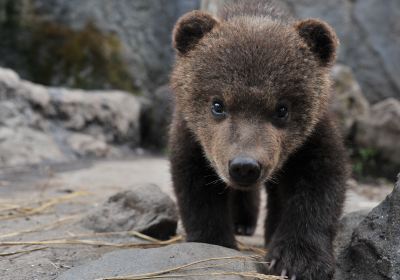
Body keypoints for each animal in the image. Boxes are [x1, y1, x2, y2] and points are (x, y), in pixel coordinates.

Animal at [168, 1, 346, 278]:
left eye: (282, 109)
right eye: (217, 104)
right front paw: (215, 240)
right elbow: (195, 185)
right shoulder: (193, 135)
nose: (245, 166)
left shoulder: (311, 137)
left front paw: (298, 260)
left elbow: (320, 183)